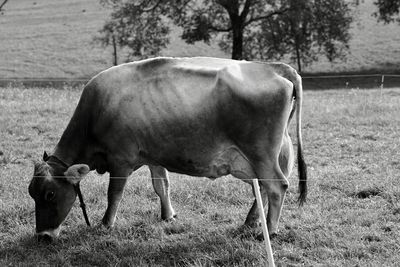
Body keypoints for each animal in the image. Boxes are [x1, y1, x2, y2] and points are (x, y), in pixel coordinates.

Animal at [28, 56, 308, 241]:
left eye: (50, 194)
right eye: (31, 192)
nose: (42, 236)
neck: (97, 110)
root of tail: (273, 67)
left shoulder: (120, 159)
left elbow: (114, 194)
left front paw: (106, 224)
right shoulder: (154, 156)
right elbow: (161, 186)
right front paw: (167, 215)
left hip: (260, 154)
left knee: (276, 186)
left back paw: (269, 230)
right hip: (266, 155)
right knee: (264, 187)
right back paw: (252, 221)